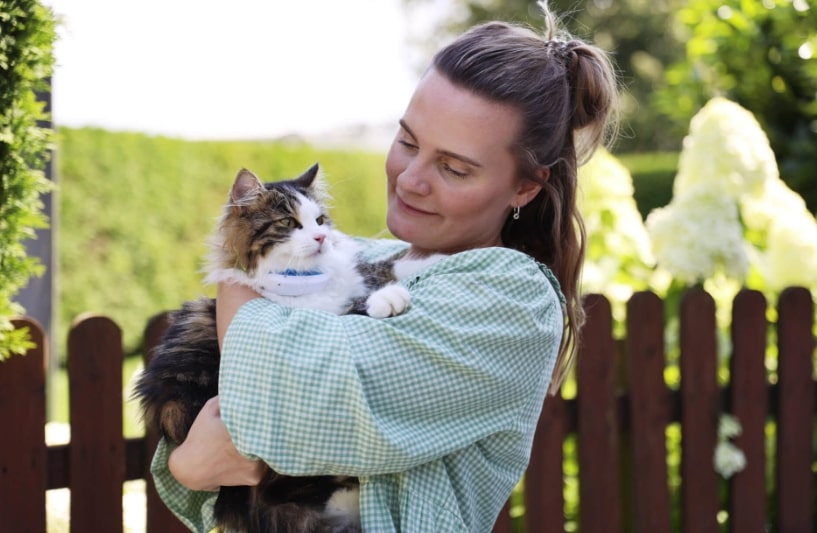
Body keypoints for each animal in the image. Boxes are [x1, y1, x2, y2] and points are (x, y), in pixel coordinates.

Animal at [134, 163, 440, 532]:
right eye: (288, 223)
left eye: (319, 220)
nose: (321, 238)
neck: (307, 276)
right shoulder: (303, 328)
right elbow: (350, 308)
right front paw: (388, 299)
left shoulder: (356, 271)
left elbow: (389, 264)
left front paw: (436, 258)